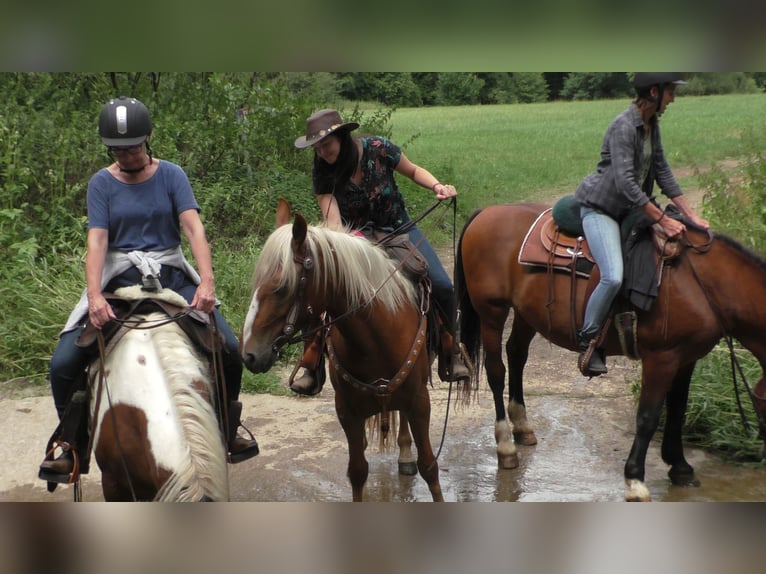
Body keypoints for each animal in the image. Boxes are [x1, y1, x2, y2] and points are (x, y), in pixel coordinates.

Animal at [240, 202, 444, 504]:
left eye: (281, 288)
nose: (249, 355)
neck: (377, 336)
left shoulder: (420, 401)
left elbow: (429, 466)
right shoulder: (347, 410)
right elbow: (357, 471)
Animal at [452, 205, 766, 502]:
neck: (702, 282)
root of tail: (485, 213)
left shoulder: (687, 358)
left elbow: (677, 409)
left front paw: (680, 467)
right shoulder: (661, 358)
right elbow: (648, 416)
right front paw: (636, 480)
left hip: (526, 313)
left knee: (516, 354)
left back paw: (523, 428)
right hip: (491, 313)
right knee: (496, 371)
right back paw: (505, 446)